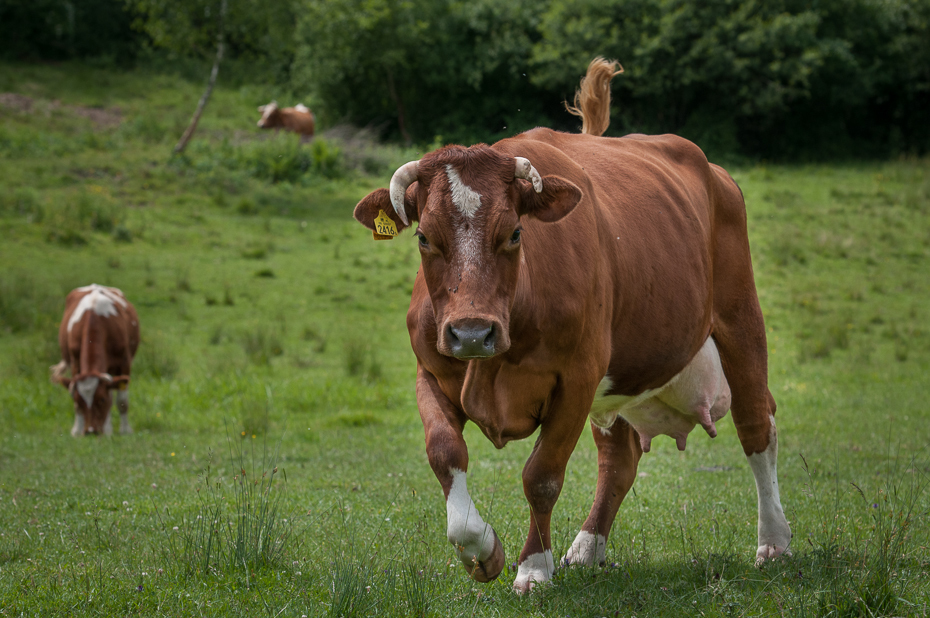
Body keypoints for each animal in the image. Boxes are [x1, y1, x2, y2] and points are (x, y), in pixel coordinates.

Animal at [51, 282, 140, 434]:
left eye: (102, 399)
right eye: (79, 401)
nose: (91, 431)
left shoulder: (124, 363)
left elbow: (122, 401)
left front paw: (125, 430)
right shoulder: (75, 364)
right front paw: (77, 430)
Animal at [352, 59, 788, 592]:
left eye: (515, 233)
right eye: (424, 238)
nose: (472, 332)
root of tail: (715, 172)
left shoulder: (577, 377)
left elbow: (542, 475)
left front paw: (534, 567)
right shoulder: (430, 370)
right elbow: (444, 452)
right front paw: (482, 550)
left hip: (739, 319)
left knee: (756, 425)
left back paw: (773, 543)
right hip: (620, 379)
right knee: (619, 459)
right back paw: (586, 549)